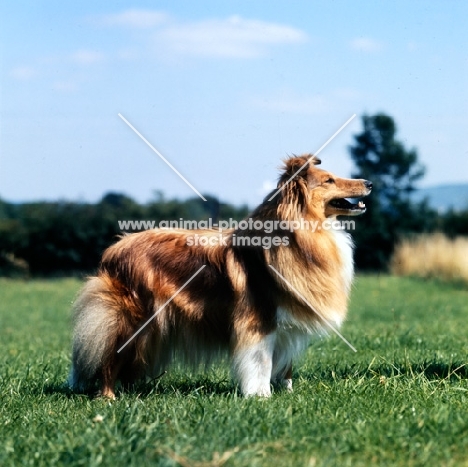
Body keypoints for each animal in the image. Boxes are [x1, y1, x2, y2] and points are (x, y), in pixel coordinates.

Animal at [67, 155, 372, 396]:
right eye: (329, 180)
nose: (369, 183)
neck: (301, 233)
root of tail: (113, 250)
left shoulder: (286, 322)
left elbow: (285, 364)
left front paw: (286, 392)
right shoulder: (259, 320)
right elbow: (261, 362)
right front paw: (261, 396)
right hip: (134, 320)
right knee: (109, 357)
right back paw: (108, 398)